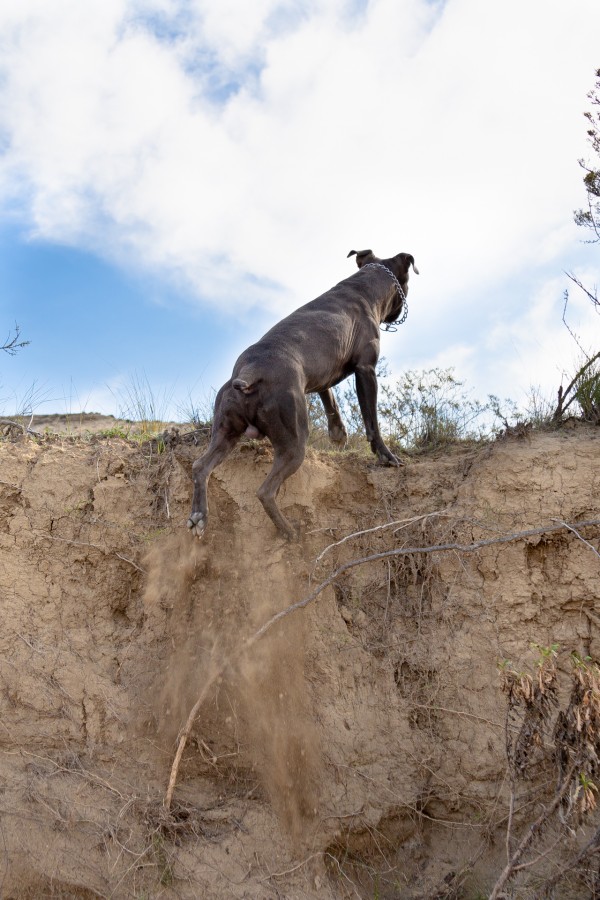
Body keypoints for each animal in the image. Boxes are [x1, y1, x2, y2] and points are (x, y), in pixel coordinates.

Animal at [188, 246, 418, 536]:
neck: (365, 287)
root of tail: (249, 372)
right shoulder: (366, 370)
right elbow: (372, 422)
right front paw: (386, 456)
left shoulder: (323, 378)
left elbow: (331, 403)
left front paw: (338, 436)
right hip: (294, 442)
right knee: (265, 491)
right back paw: (289, 532)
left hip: (226, 432)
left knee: (200, 467)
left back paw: (199, 517)